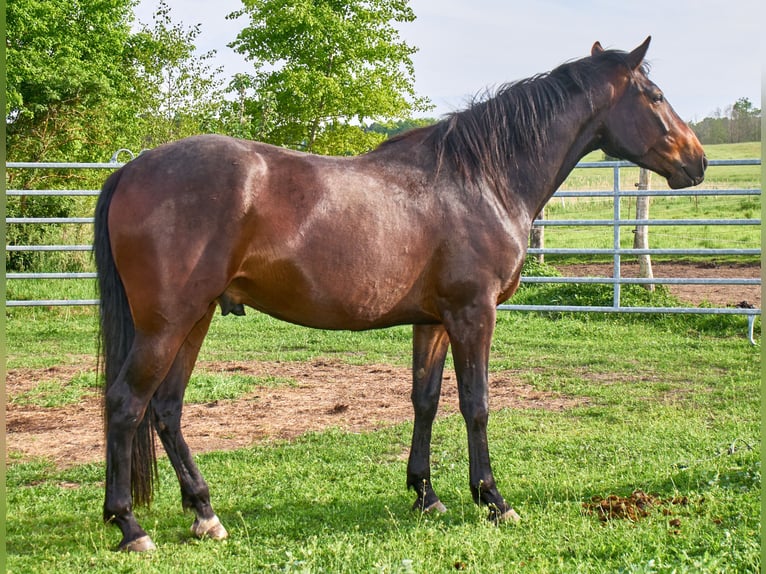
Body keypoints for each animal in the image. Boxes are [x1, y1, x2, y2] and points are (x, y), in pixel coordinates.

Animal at [94, 37, 706, 551]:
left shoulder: (432, 320)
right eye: (654, 95)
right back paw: (130, 526)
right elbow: (476, 403)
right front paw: (493, 499)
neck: (479, 180)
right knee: (126, 404)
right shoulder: (473, 314)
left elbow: (425, 400)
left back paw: (205, 513)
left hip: (195, 318)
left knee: (166, 410)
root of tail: (131, 169)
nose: (697, 161)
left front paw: (426, 495)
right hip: (166, 324)